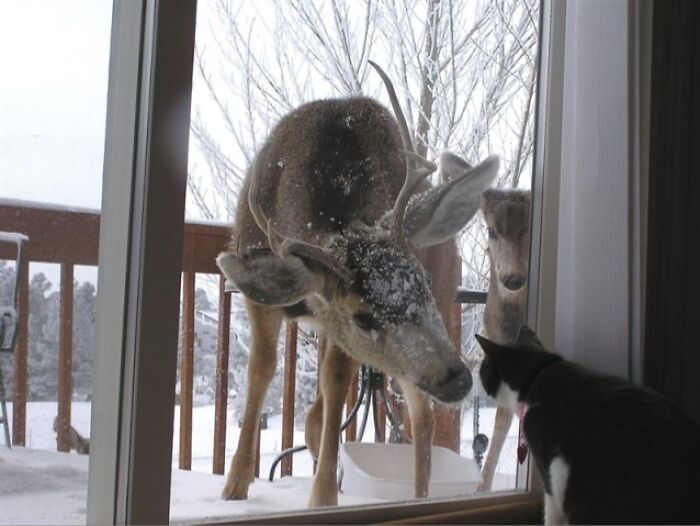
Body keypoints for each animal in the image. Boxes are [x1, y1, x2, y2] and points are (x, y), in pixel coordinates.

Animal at [216, 62, 499, 507]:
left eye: (421, 281)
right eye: (362, 317)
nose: (457, 378)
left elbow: (334, 380)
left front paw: (322, 497)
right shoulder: (263, 296)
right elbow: (262, 369)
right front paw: (234, 485)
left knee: (420, 415)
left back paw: (417, 496)